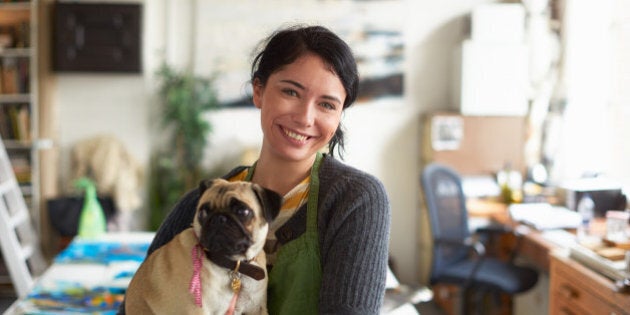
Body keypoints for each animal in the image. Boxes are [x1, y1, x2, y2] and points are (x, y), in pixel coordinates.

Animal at [125, 179, 282, 314]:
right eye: (204, 212)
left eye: (242, 211)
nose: (219, 218)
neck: (233, 266)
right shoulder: (195, 310)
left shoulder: (255, 310)